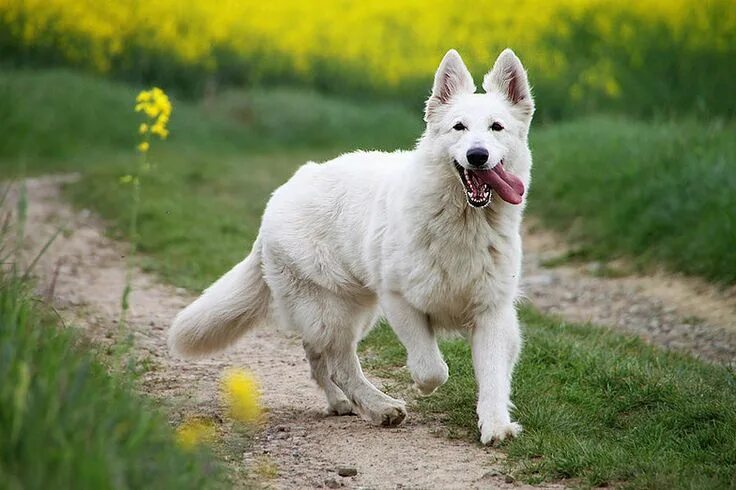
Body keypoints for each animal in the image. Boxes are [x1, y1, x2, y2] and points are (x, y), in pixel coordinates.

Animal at [168, 48, 536, 444]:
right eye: (459, 128)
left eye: (496, 127)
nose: (478, 155)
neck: (463, 223)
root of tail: (280, 195)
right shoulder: (399, 301)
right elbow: (431, 368)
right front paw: (424, 388)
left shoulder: (492, 312)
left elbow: (493, 377)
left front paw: (496, 425)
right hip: (336, 310)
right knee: (339, 365)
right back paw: (380, 407)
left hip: (350, 312)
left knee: (318, 358)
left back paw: (342, 403)